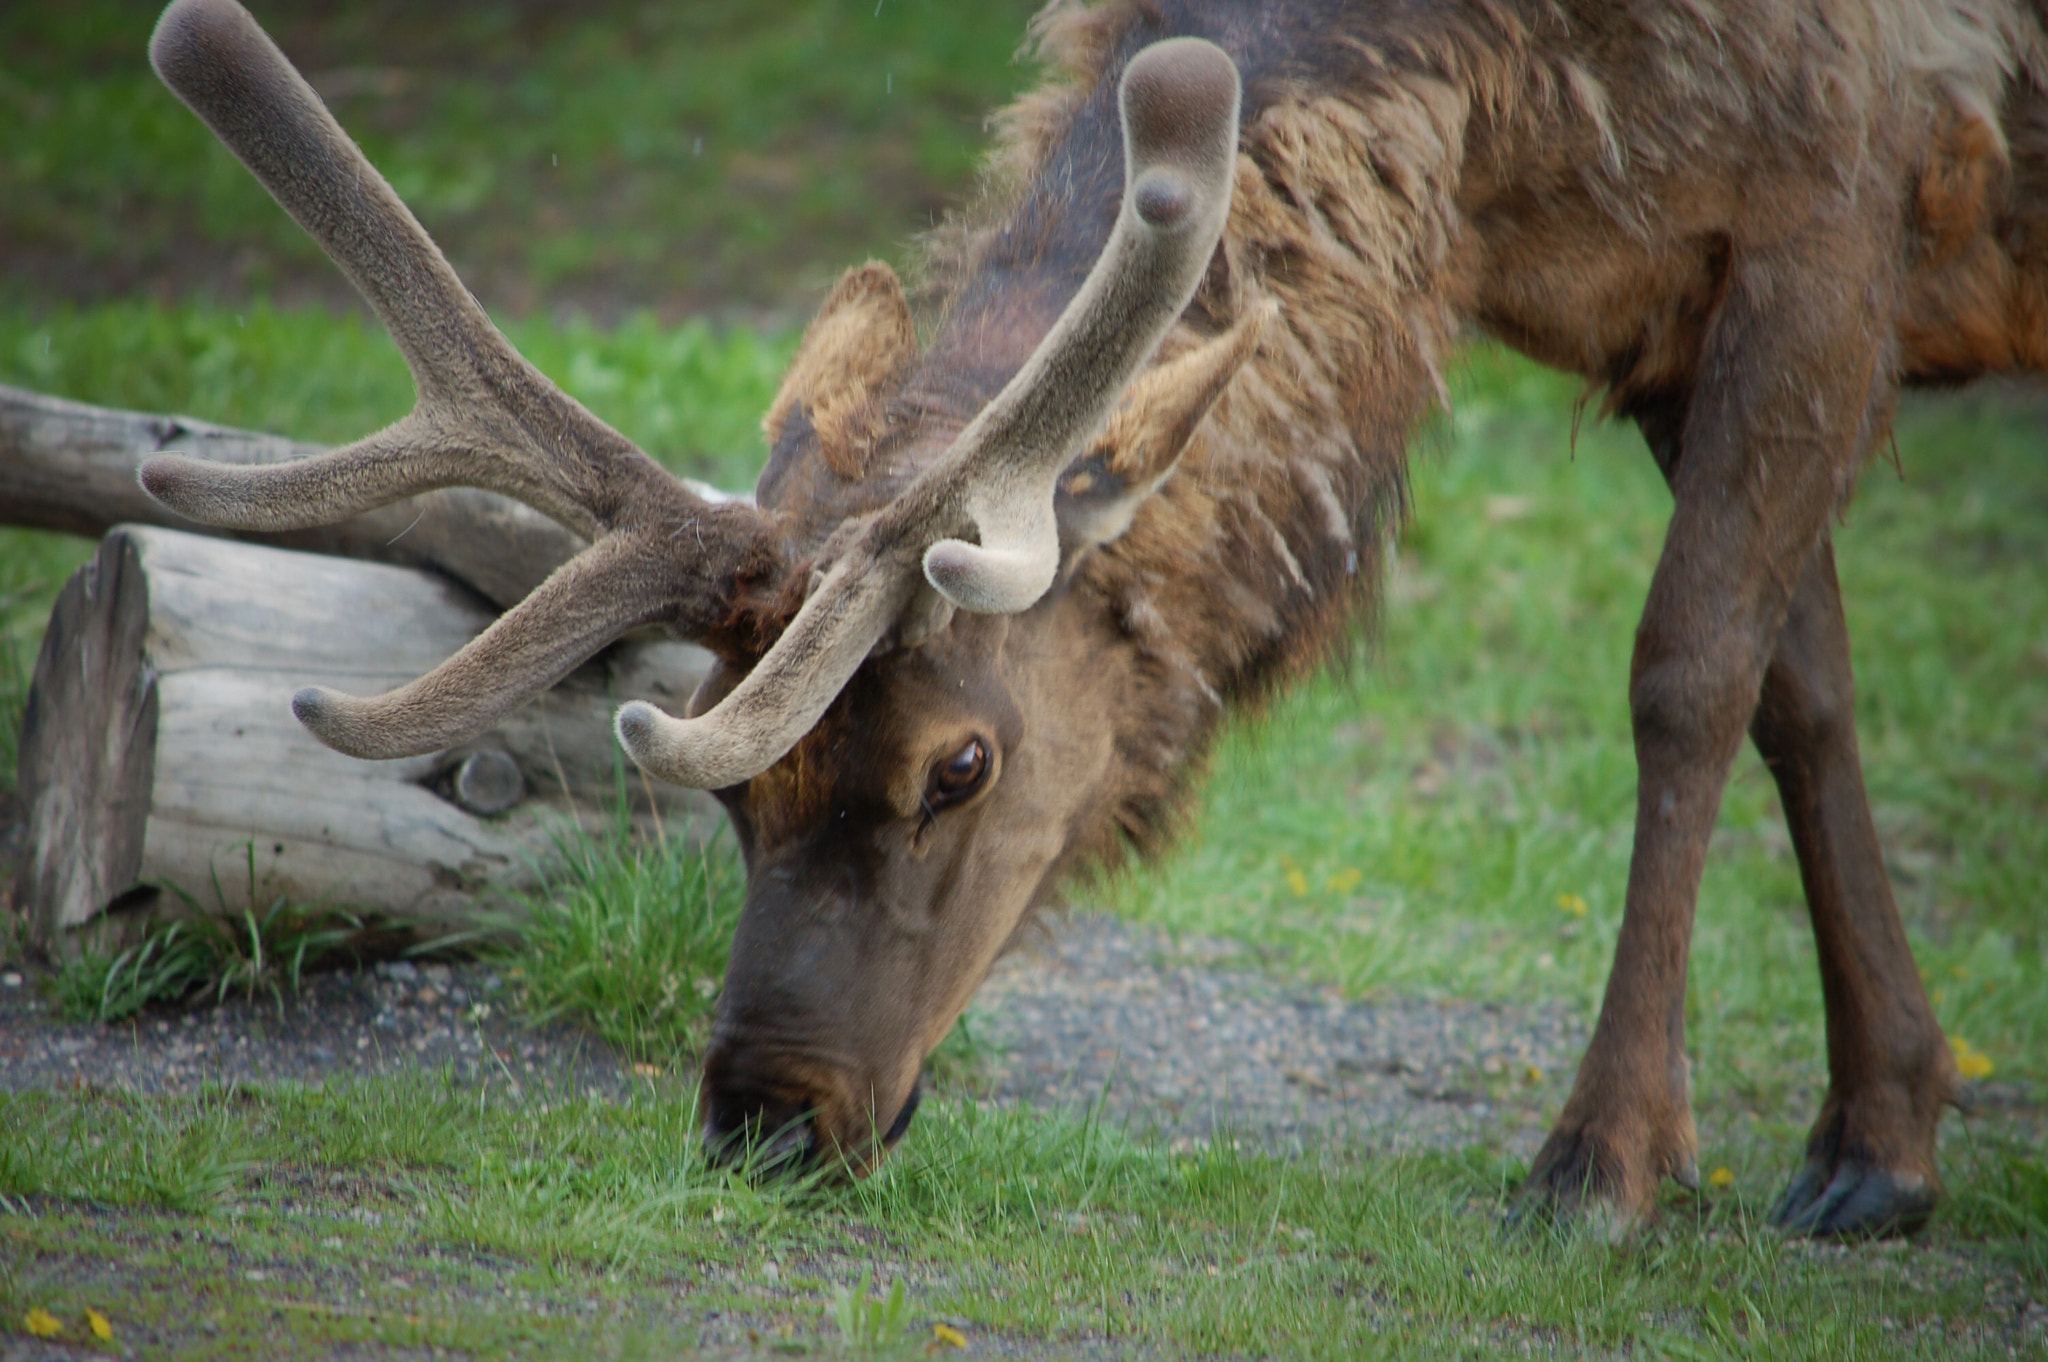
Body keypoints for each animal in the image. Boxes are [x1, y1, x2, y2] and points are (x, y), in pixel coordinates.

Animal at [134, 0, 2048, 1238]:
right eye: (733, 792)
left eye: (961, 765)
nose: (765, 1122)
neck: (1515, 141)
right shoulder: (1672, 312)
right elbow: (1805, 691)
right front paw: (1885, 1134)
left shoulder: (1827, 219)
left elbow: (1685, 674)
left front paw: (1608, 1162)